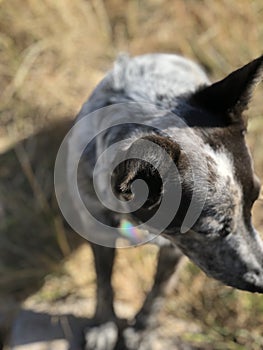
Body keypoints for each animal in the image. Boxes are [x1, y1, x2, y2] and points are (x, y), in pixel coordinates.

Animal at [62, 53, 263, 348]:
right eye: (210, 230)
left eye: (254, 202)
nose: (262, 279)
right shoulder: (96, 225)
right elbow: (103, 279)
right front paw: (103, 325)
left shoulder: (176, 250)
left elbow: (159, 291)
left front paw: (142, 332)